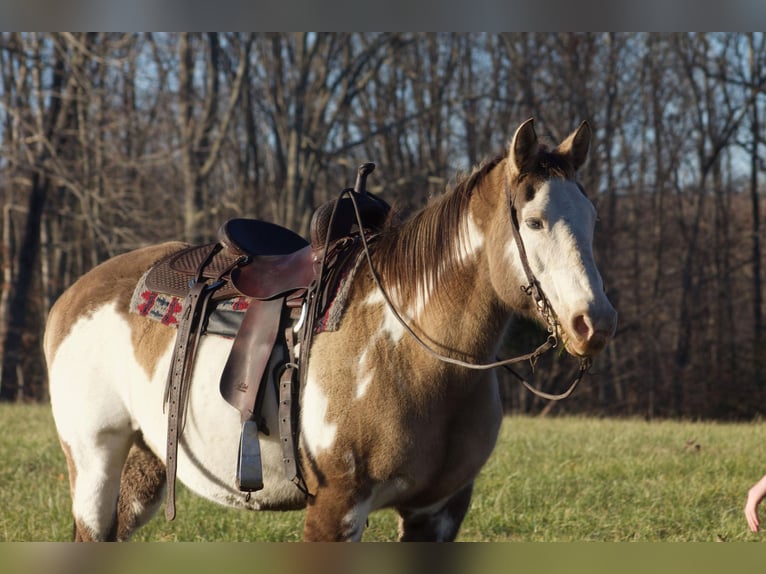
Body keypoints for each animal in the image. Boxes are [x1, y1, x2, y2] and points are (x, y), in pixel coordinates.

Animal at [45, 119, 616, 544]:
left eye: (592, 219)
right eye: (535, 221)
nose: (596, 323)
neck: (411, 352)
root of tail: (71, 297)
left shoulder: (438, 512)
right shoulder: (335, 508)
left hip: (143, 464)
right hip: (95, 459)